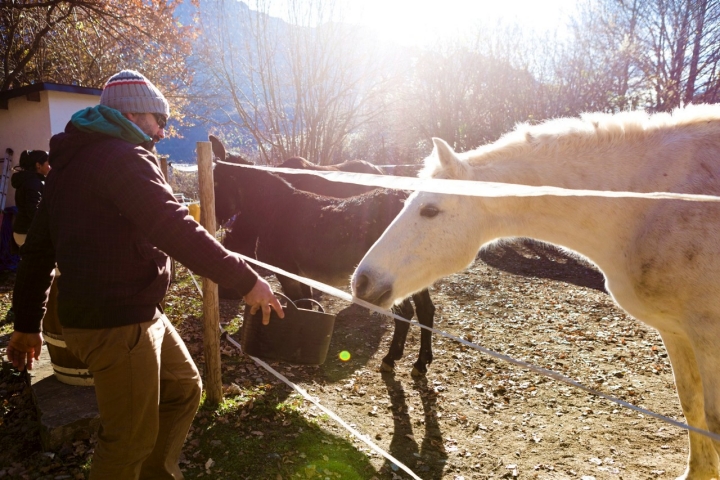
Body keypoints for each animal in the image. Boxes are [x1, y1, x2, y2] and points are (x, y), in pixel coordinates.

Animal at [214, 159, 436, 376]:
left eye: (217, 184)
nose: (223, 293)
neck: (275, 210)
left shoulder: (287, 273)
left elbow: (300, 304)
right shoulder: (301, 275)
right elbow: (306, 304)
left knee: (405, 314)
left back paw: (391, 359)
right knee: (425, 311)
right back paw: (421, 363)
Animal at [356, 106, 720, 480]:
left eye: (429, 209)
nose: (362, 281)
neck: (647, 206)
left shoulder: (707, 333)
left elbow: (713, 419)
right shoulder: (675, 330)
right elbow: (691, 405)